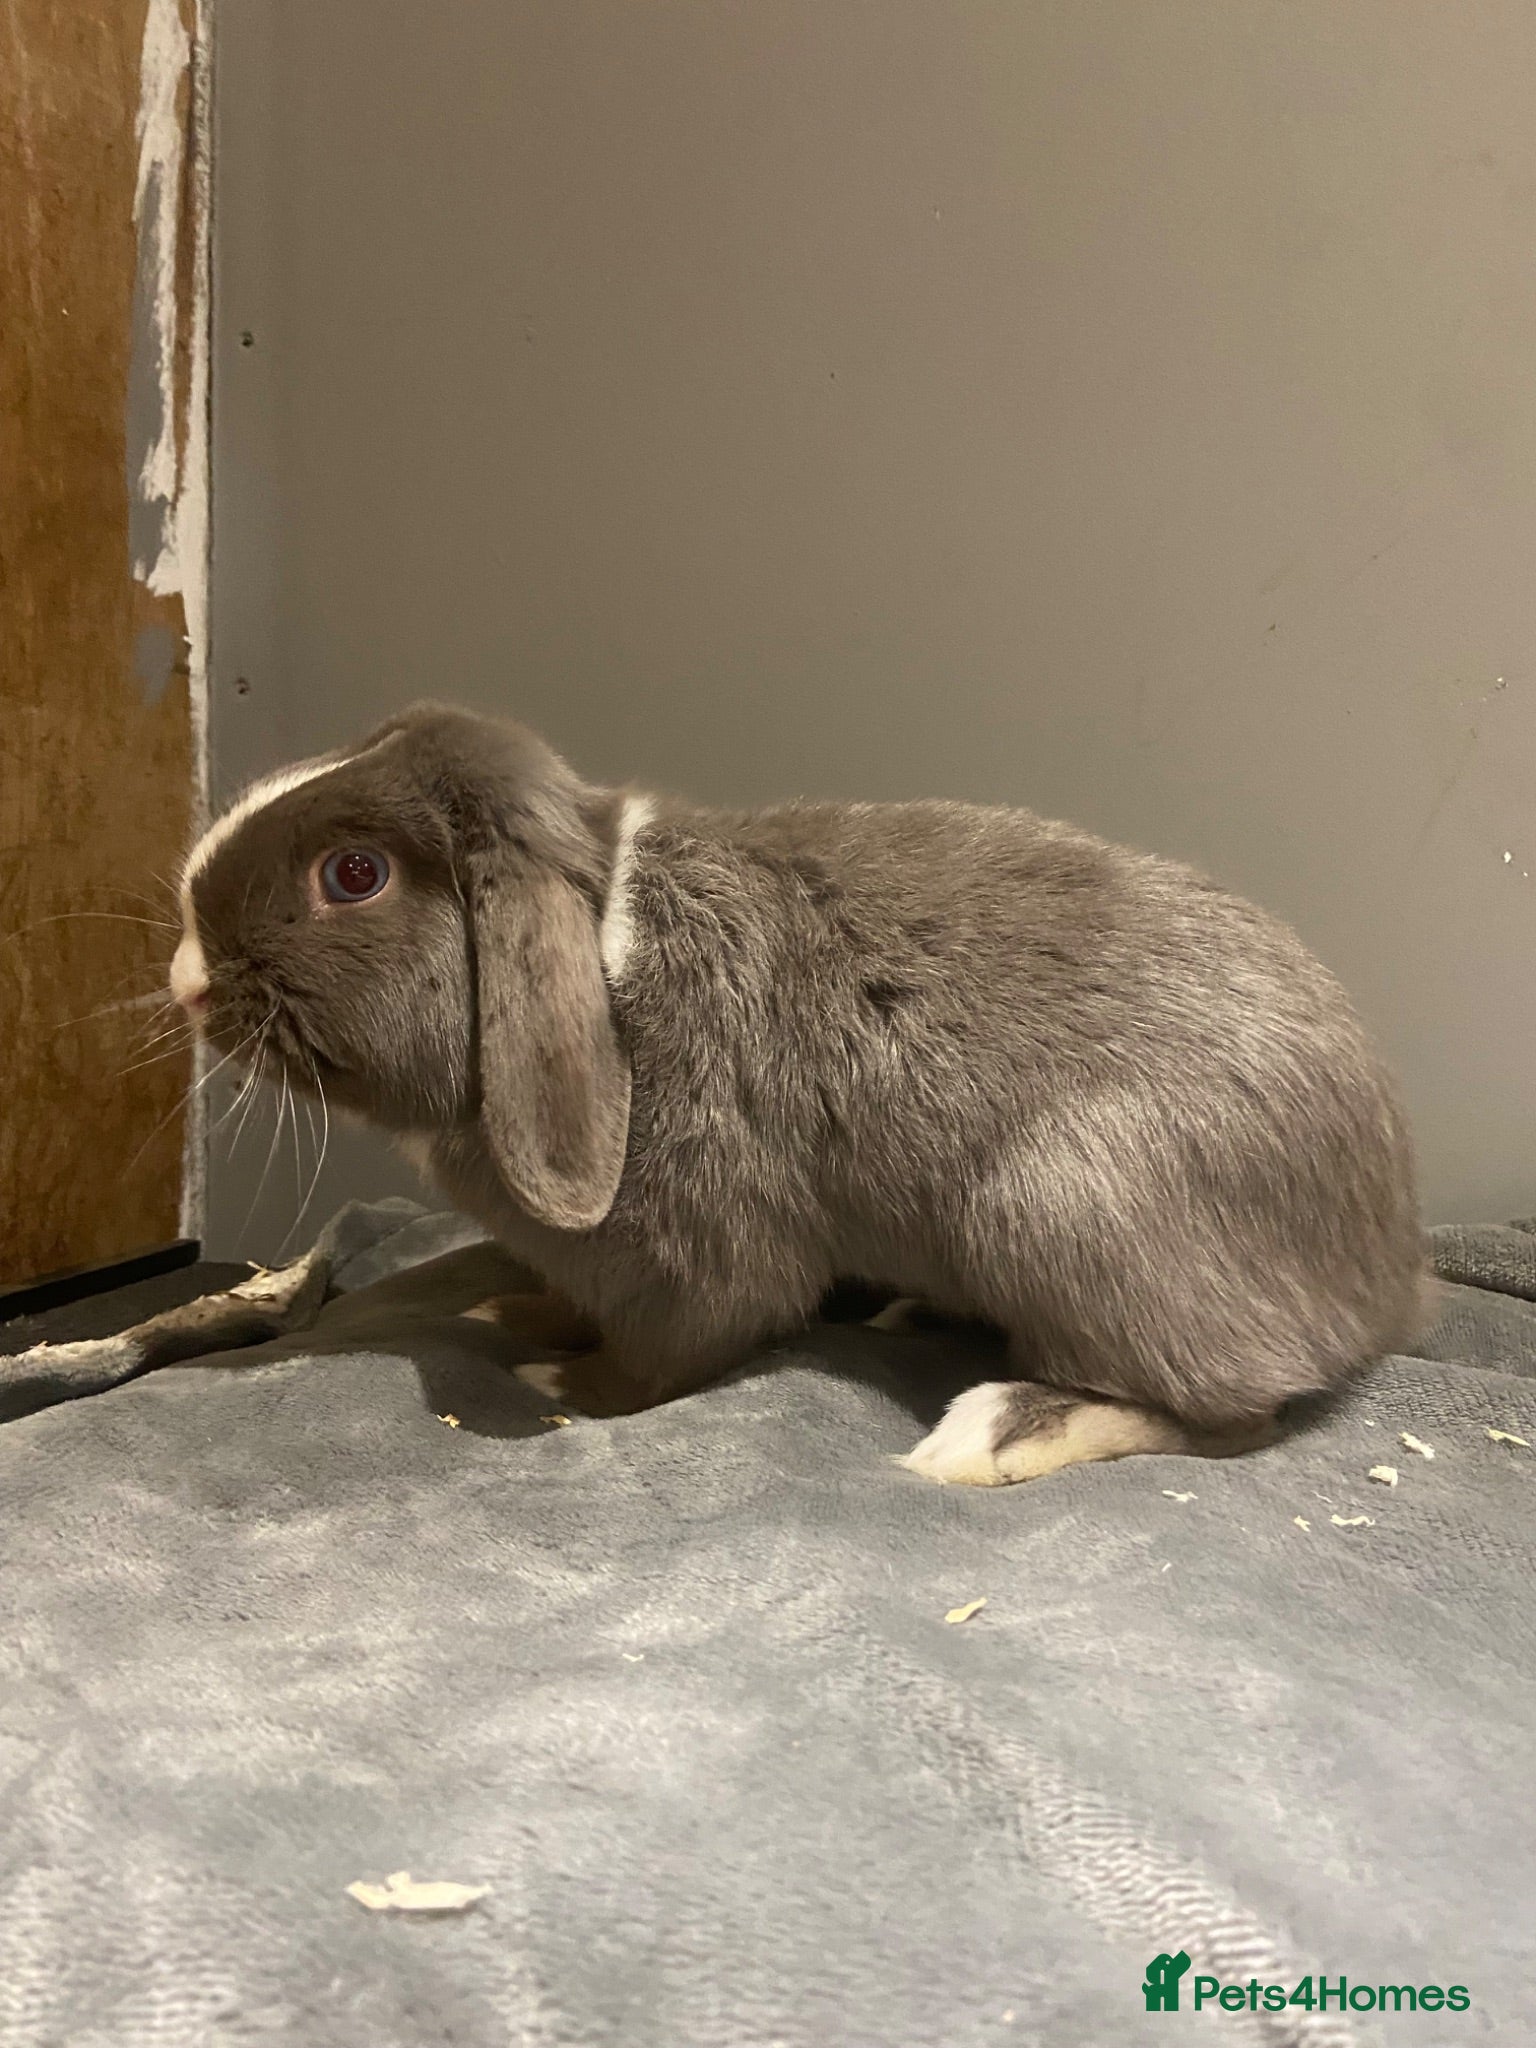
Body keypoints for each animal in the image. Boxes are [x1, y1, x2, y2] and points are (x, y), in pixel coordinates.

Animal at [169, 701, 1426, 1484]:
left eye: (354, 875)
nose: (183, 975)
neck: (608, 954)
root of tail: (1379, 1283)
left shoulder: (695, 1256)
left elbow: (666, 1354)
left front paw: (560, 1373)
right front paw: (515, 1313)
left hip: (1064, 1206)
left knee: (1232, 1414)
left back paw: (1002, 1427)